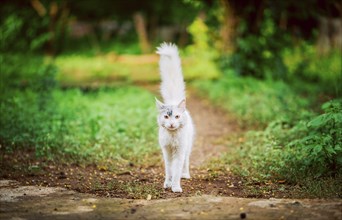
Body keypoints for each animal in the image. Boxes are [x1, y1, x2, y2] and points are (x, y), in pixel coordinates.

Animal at [156, 43, 195, 192]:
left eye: (177, 116)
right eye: (167, 116)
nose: (172, 124)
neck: (172, 137)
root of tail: (174, 100)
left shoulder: (179, 152)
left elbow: (177, 169)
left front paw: (176, 187)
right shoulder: (166, 151)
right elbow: (169, 170)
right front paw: (167, 183)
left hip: (187, 147)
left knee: (186, 162)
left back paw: (186, 175)